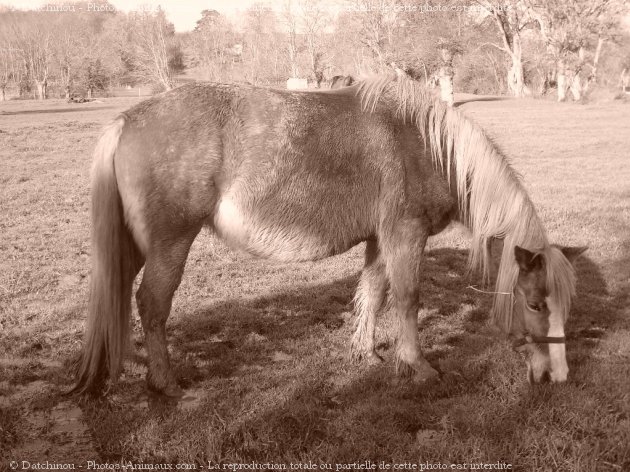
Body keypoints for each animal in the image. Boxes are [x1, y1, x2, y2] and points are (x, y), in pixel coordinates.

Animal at [73, 74, 588, 398]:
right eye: (535, 304)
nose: (559, 376)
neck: (424, 145)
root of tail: (127, 120)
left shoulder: (382, 239)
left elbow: (374, 294)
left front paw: (367, 354)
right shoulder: (405, 235)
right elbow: (408, 298)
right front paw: (418, 366)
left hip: (134, 248)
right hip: (170, 244)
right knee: (152, 305)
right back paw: (165, 383)